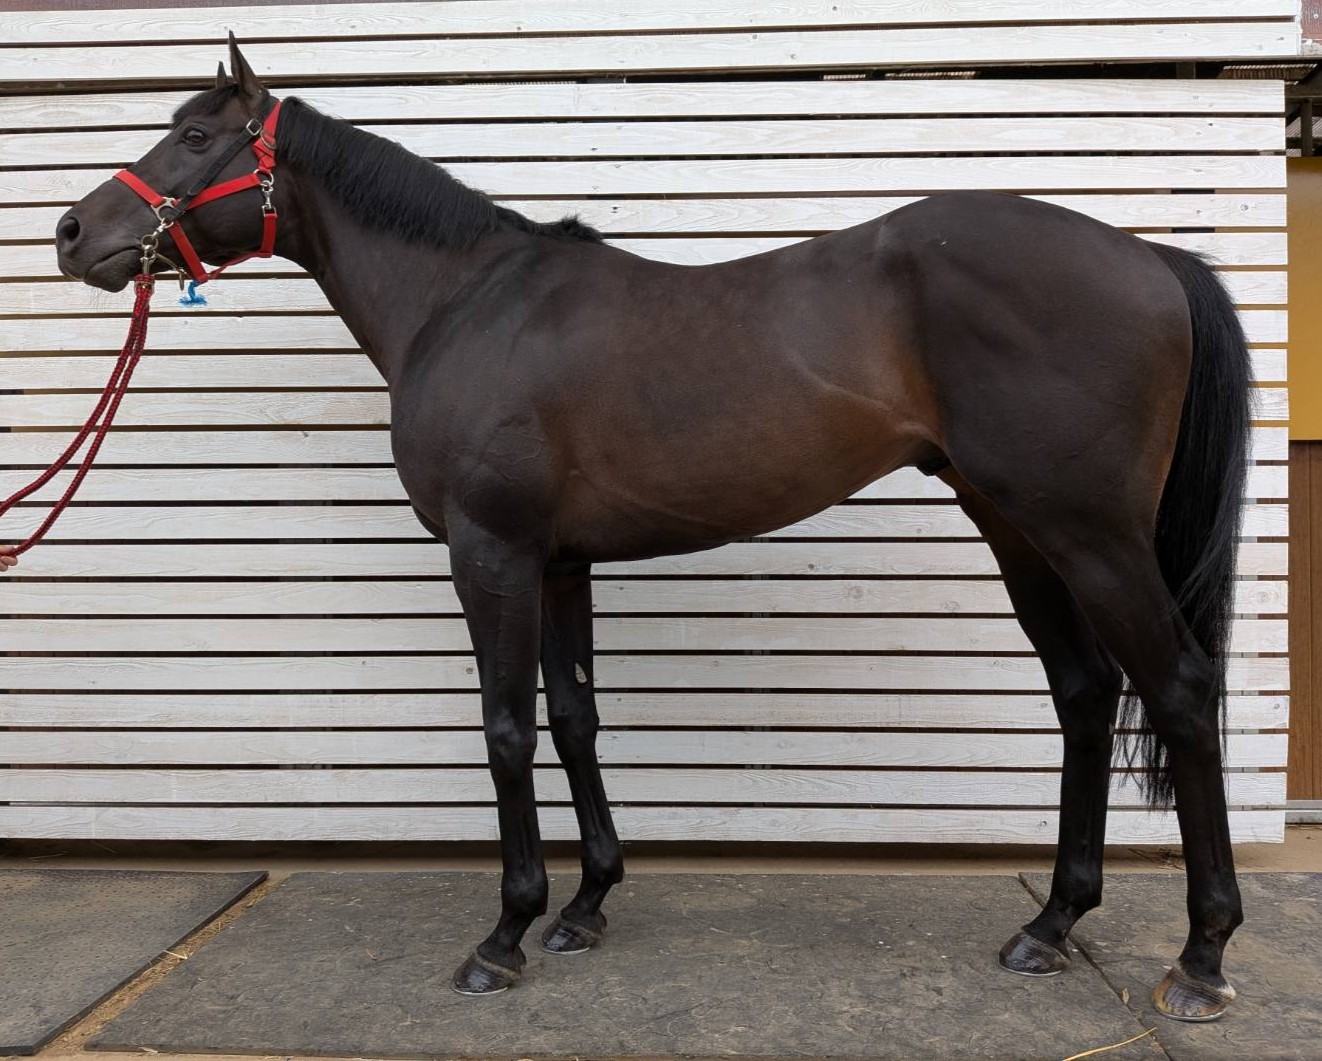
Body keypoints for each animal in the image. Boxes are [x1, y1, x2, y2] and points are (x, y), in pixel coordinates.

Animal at [54, 37, 1250, 1020]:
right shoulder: (557, 562)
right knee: (1085, 694)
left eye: (194, 134)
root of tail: (1152, 259)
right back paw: (1050, 923)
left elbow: (505, 729)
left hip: (1088, 533)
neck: (467, 303)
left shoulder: (490, 555)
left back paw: (1200, 957)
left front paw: (504, 932)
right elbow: (575, 717)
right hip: (1018, 527)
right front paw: (585, 903)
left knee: (1180, 692)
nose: (72, 233)